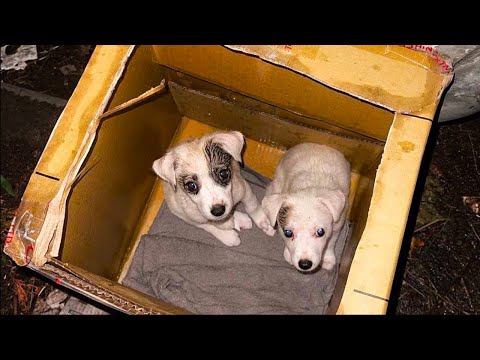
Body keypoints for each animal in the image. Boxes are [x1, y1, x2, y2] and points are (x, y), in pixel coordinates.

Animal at [260, 143, 350, 272]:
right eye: (288, 233)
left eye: (320, 232)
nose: (305, 264)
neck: (309, 186)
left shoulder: (337, 225)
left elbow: (331, 242)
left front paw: (327, 258)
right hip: (277, 183)